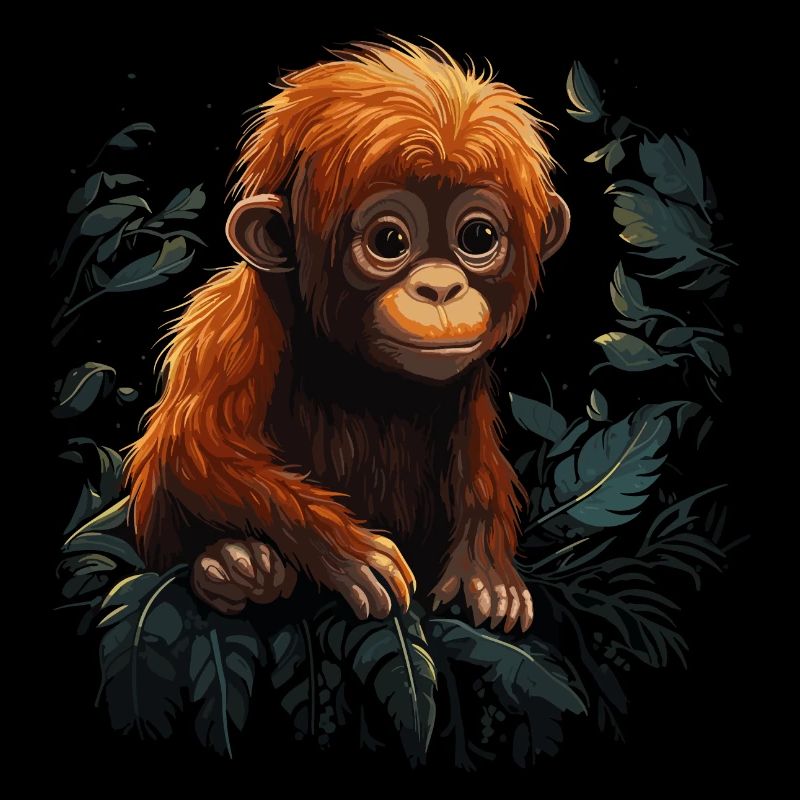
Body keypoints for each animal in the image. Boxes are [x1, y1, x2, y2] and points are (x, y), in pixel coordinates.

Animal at [125, 38, 569, 633]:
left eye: (478, 237)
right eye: (389, 241)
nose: (440, 288)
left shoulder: (469, 373)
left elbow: (475, 458)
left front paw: (487, 571)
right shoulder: (233, 327)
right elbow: (193, 449)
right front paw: (349, 552)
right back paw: (234, 566)